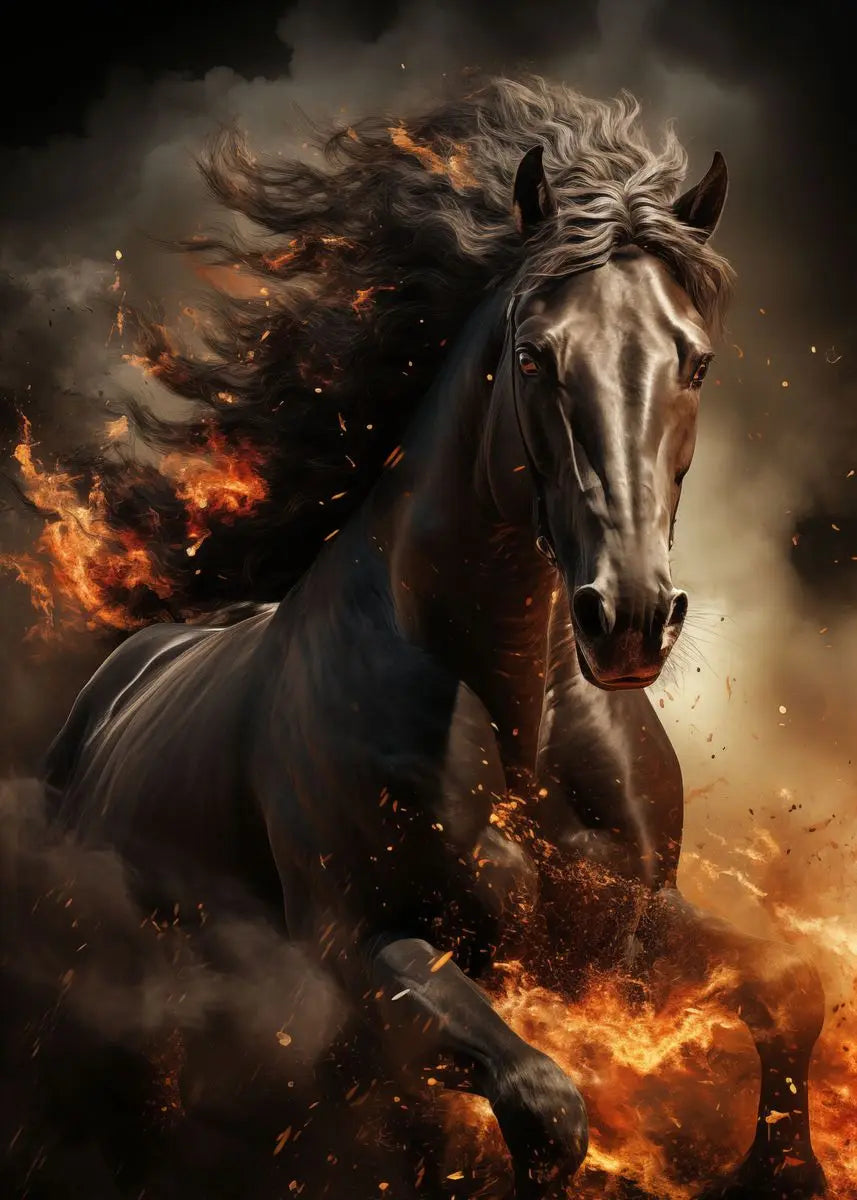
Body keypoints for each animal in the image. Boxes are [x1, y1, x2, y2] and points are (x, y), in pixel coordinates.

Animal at [43, 81, 825, 1199]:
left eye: (696, 360)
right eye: (536, 355)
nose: (629, 617)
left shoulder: (632, 927)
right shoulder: (365, 954)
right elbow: (542, 1106)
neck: (512, 710)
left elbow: (791, 988)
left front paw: (786, 1170)